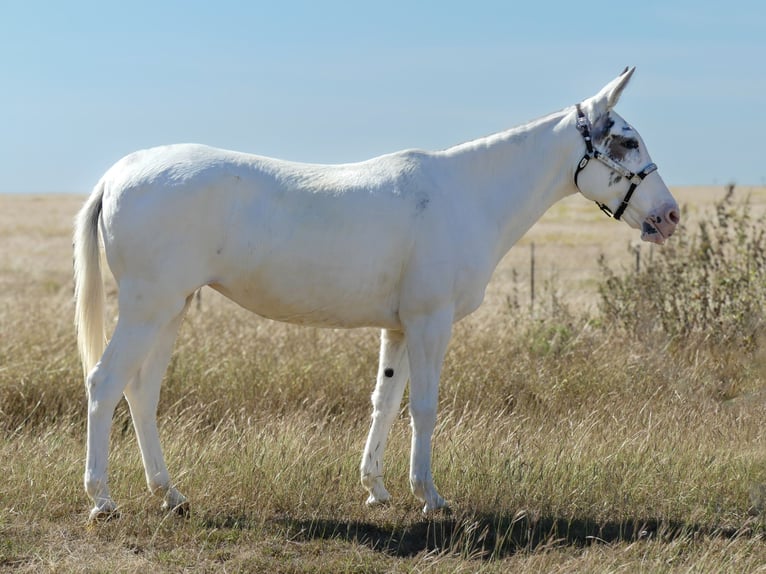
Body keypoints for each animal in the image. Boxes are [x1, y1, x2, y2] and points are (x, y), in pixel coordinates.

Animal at [74, 67, 679, 521]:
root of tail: (118, 173)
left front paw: (376, 490)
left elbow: (385, 402)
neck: (467, 193)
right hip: (147, 308)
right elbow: (424, 407)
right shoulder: (431, 321)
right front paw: (431, 497)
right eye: (626, 140)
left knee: (141, 393)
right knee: (105, 383)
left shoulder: (399, 326)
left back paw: (171, 495)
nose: (670, 215)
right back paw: (103, 500)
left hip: (170, 310)